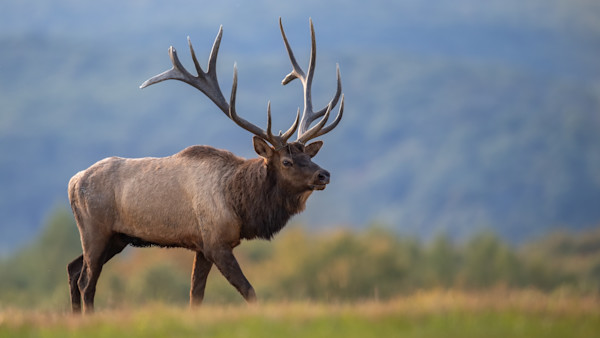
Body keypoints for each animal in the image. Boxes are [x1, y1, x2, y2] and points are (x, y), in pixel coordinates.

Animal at [65, 18, 342, 312]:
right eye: (287, 161)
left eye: (308, 157)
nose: (323, 175)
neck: (240, 206)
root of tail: (73, 182)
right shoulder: (215, 243)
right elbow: (249, 291)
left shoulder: (201, 247)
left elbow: (195, 296)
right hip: (95, 231)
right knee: (86, 281)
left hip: (116, 237)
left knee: (72, 269)